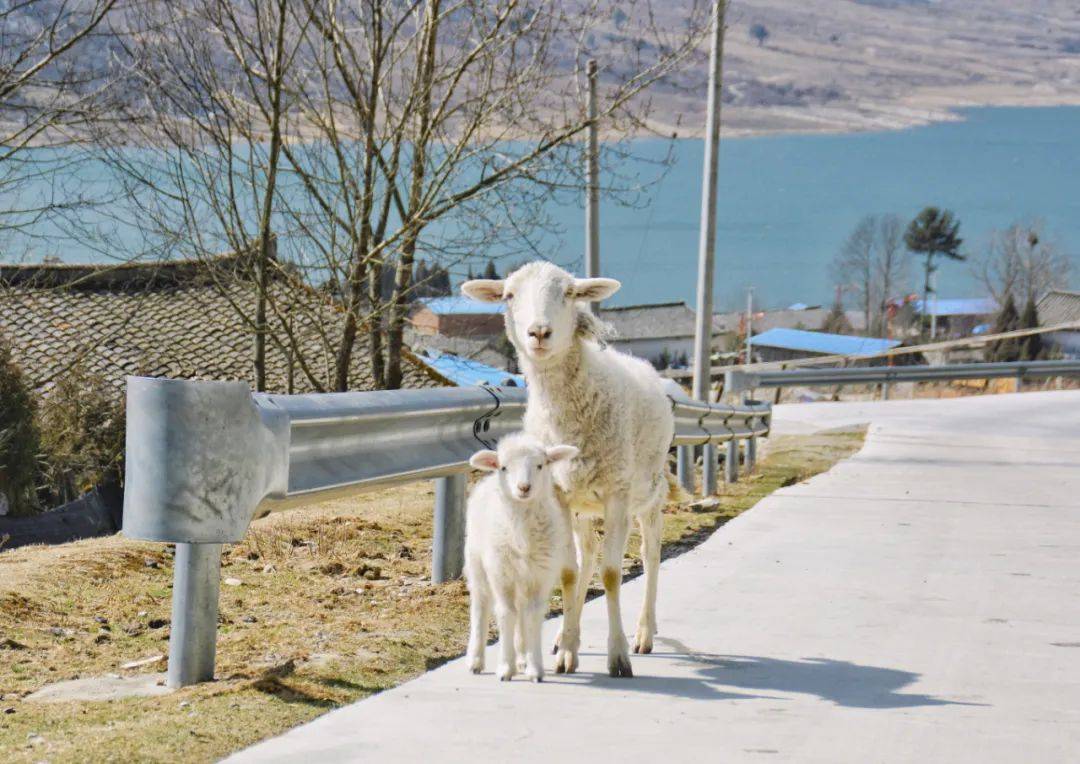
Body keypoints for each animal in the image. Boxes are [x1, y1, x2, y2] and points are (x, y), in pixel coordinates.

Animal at [466, 434, 583, 682]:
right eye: (504, 467)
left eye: (540, 465)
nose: (523, 487)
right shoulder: (501, 574)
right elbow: (505, 614)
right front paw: (504, 668)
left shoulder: (540, 575)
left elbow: (533, 616)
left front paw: (534, 668)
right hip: (477, 562)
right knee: (481, 605)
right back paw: (476, 660)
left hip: (523, 576)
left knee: (521, 610)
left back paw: (521, 657)